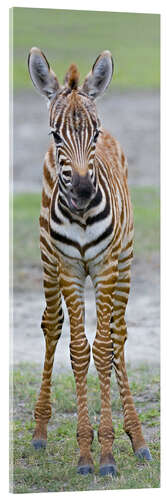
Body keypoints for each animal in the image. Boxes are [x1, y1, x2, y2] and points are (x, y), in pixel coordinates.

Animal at [28, 47, 152, 476]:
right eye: (55, 135)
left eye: (93, 134)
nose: (82, 191)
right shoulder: (67, 268)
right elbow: (80, 351)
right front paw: (87, 452)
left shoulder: (106, 267)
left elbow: (103, 348)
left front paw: (109, 451)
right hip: (48, 263)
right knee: (52, 326)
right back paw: (39, 432)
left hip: (125, 262)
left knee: (119, 334)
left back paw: (139, 438)